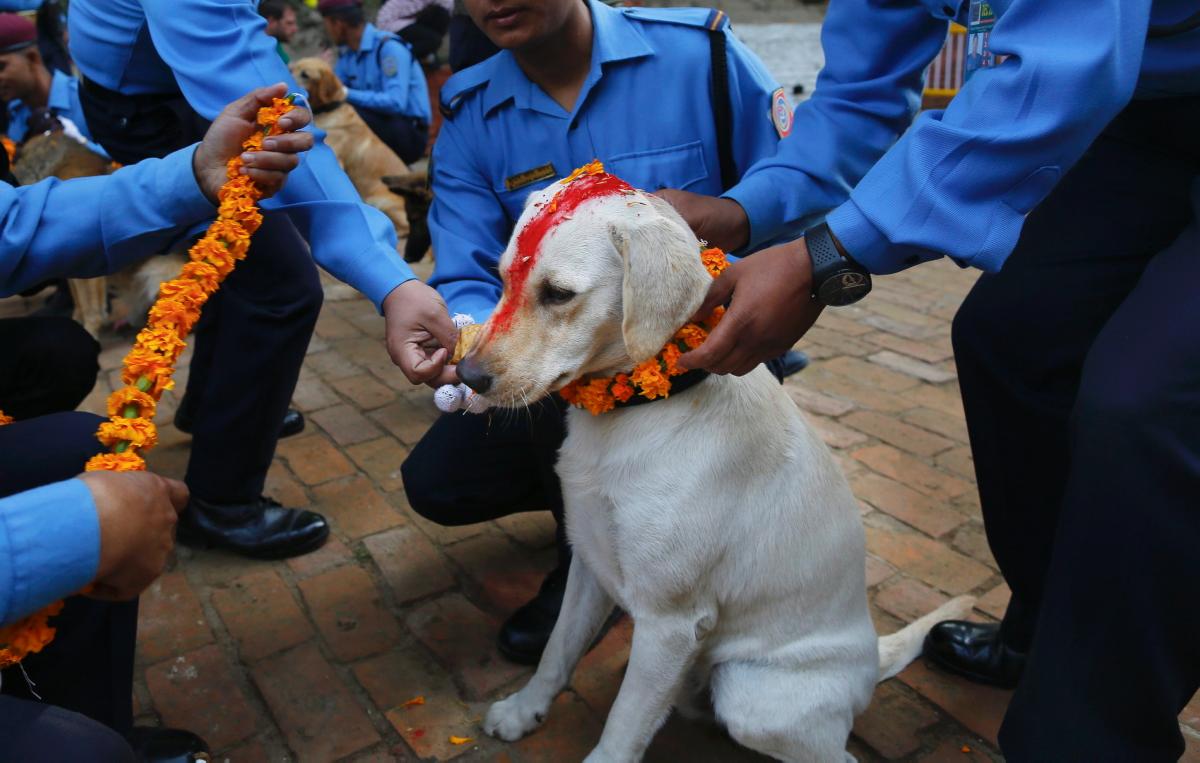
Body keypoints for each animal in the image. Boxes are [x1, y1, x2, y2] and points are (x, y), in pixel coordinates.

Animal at [460, 170, 974, 758]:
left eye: (558, 294)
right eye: (502, 278)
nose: (465, 375)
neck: (640, 413)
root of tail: (870, 654)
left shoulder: (670, 622)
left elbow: (622, 726)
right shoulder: (589, 563)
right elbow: (557, 653)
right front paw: (524, 711)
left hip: (752, 699)